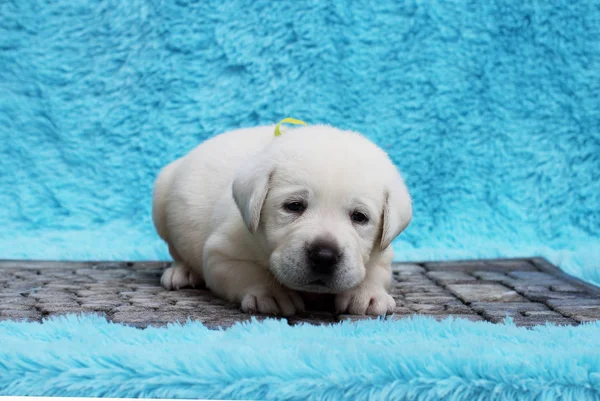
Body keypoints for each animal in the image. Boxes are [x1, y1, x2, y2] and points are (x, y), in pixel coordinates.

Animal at [151, 124, 412, 316]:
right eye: (294, 206)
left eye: (359, 217)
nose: (324, 256)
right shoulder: (221, 254)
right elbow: (246, 272)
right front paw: (271, 293)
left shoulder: (383, 254)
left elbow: (375, 270)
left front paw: (367, 293)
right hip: (161, 196)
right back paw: (183, 271)